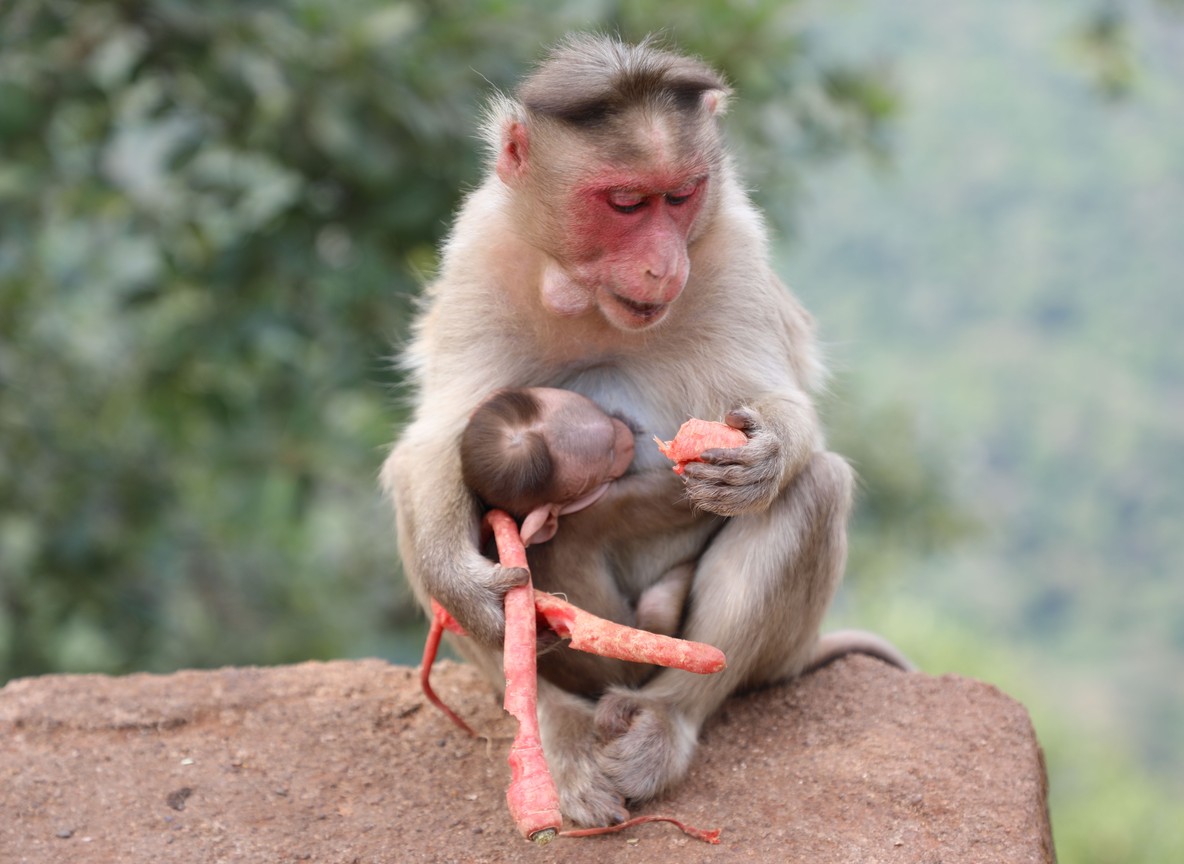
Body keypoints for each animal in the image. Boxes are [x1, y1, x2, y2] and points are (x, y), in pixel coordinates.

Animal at [460, 386, 692, 639]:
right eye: (611, 454)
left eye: (600, 412)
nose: (625, 433)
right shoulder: (603, 509)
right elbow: (676, 500)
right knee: (658, 606)